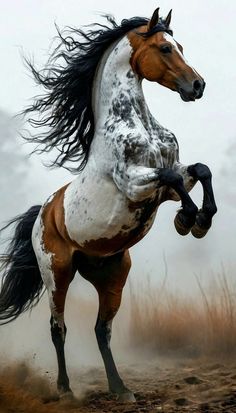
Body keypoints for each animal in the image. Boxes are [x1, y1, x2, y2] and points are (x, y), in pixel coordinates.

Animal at [0, 8, 218, 402]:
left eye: (180, 45)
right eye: (165, 48)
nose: (198, 86)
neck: (137, 125)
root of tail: (43, 213)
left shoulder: (170, 179)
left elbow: (198, 170)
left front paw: (199, 221)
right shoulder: (134, 183)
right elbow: (172, 177)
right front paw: (188, 219)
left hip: (113, 275)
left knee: (102, 330)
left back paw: (120, 388)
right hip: (57, 273)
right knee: (58, 327)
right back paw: (65, 389)